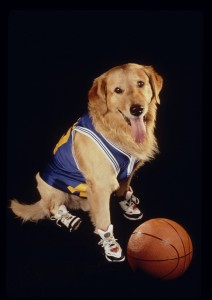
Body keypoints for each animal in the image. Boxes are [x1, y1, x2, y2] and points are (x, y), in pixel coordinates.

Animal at [9, 63, 163, 262]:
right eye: (118, 90)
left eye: (140, 84)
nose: (137, 109)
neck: (116, 130)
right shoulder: (101, 186)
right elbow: (104, 221)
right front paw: (111, 246)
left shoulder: (127, 172)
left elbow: (122, 192)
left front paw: (128, 206)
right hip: (47, 183)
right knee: (51, 208)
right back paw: (68, 218)